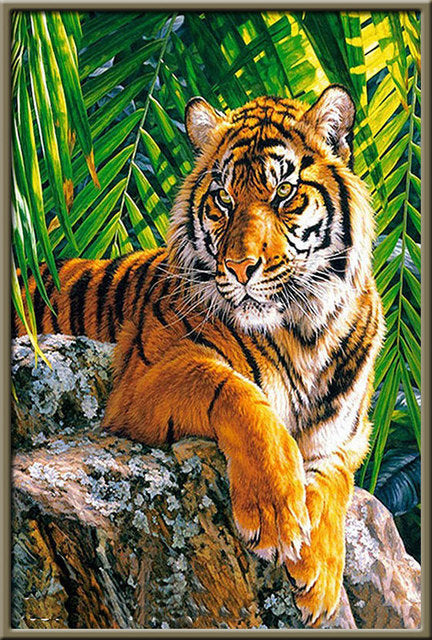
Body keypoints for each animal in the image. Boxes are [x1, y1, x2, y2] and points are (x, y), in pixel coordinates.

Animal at [13, 85, 385, 628]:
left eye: (284, 193)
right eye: (223, 200)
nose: (240, 267)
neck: (305, 329)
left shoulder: (348, 437)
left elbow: (335, 478)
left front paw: (320, 575)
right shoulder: (142, 379)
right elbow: (239, 394)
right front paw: (276, 512)